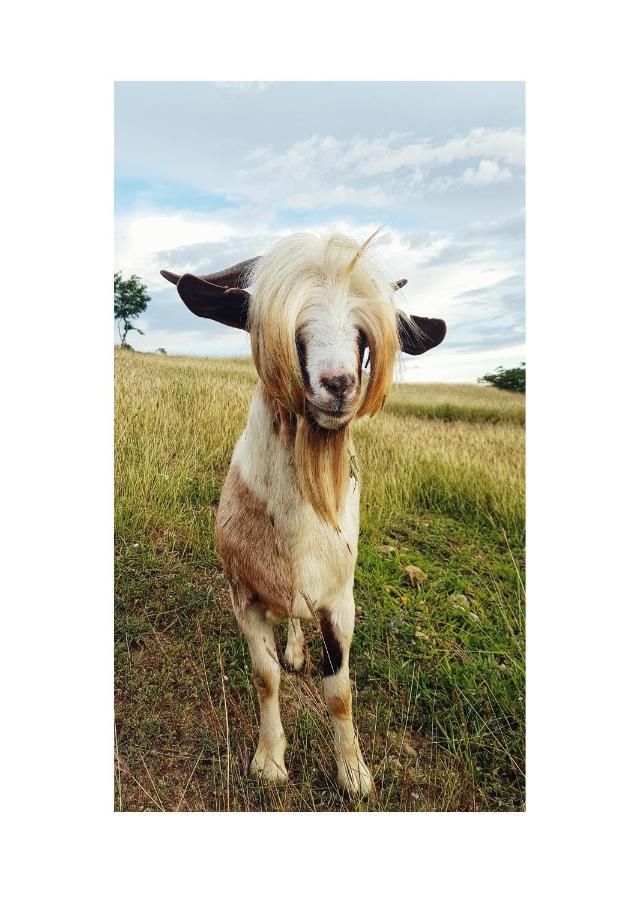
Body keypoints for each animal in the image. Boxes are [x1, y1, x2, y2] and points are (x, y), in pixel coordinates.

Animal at [161, 232, 444, 796]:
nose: (337, 386)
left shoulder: (340, 603)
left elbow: (339, 690)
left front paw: (354, 774)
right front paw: (270, 762)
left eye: (363, 338)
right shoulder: (244, 595)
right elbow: (265, 677)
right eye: (281, 327)